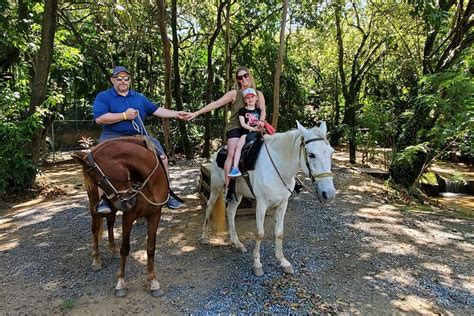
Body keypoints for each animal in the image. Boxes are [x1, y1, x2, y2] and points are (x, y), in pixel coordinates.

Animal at [73, 137, 169, 298]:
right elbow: (125, 248)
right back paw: (96, 259)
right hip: (94, 206)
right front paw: (120, 283)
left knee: (110, 222)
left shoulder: (155, 214)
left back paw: (112, 248)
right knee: (95, 229)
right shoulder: (129, 216)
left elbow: (151, 247)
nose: (127, 202)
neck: (149, 183)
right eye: (97, 182)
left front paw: (153, 282)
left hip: (113, 210)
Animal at [201, 122, 336, 276]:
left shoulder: (283, 204)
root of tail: (219, 151)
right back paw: (204, 237)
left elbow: (279, 233)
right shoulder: (261, 204)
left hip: (238, 194)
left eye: (331, 153)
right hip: (216, 187)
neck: (279, 168)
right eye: (311, 155)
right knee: (209, 206)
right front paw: (257, 264)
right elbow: (260, 233)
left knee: (230, 212)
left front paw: (283, 261)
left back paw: (237, 243)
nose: (329, 194)